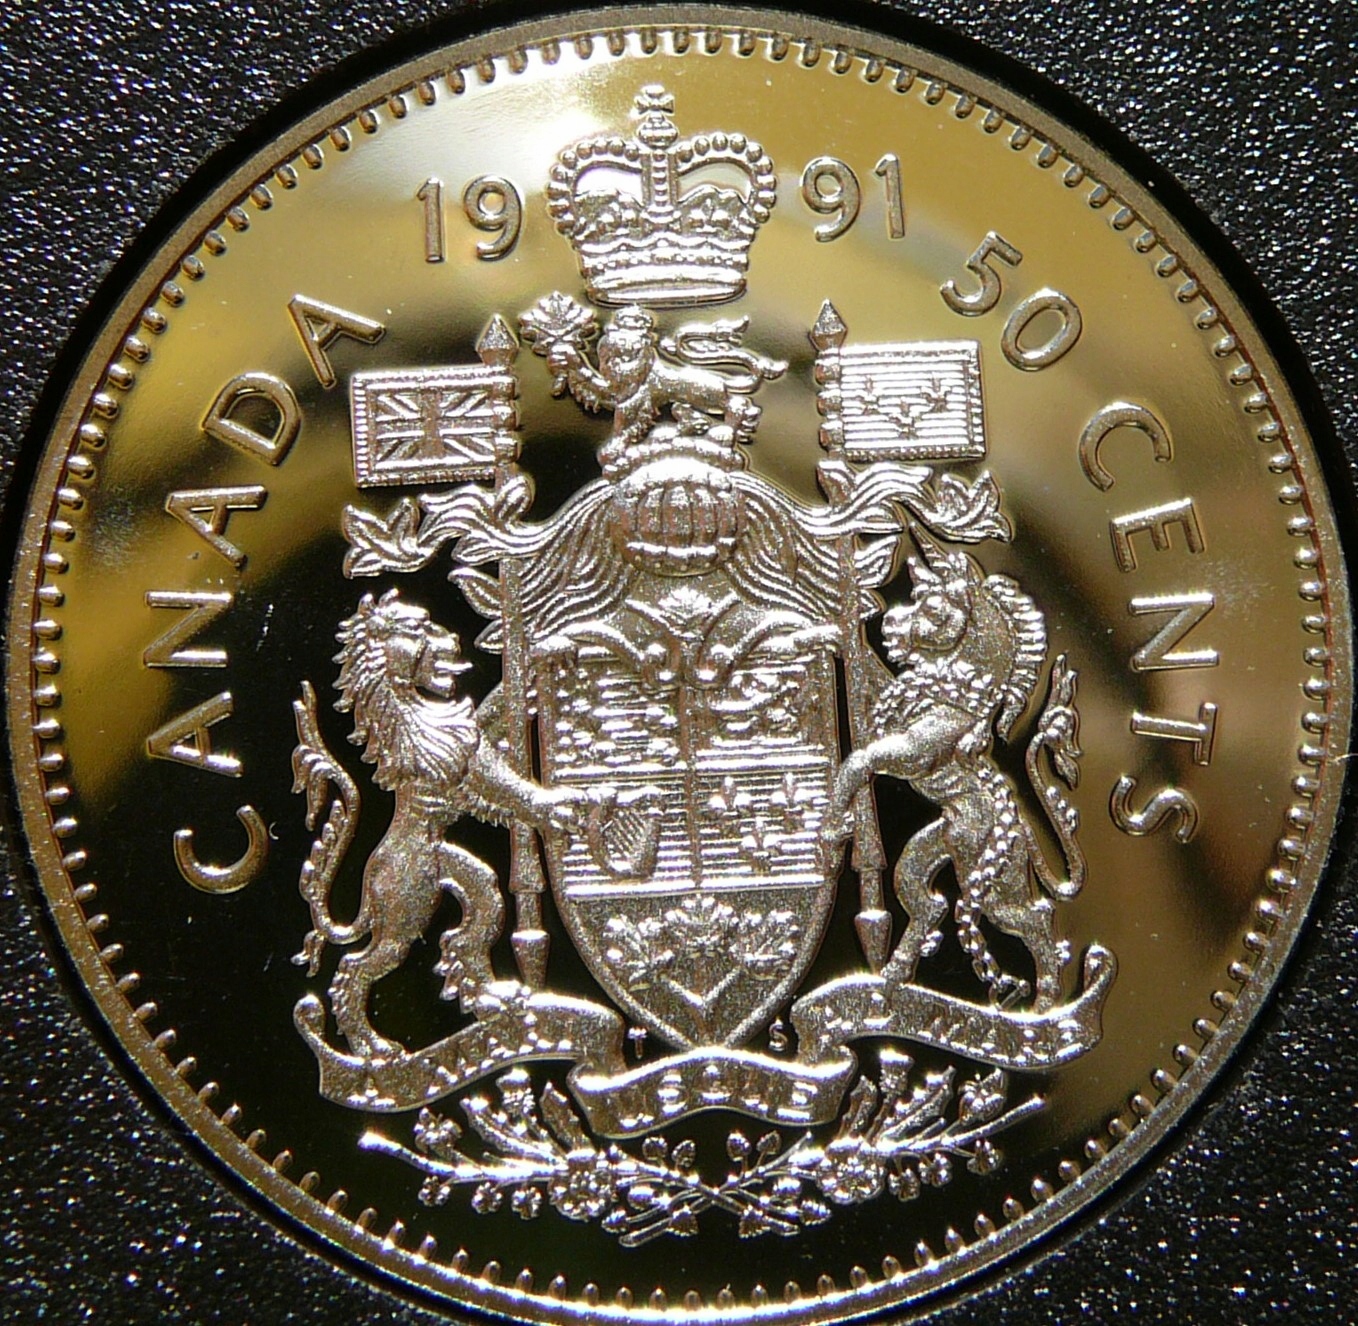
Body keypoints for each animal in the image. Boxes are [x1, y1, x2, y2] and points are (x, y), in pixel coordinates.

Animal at [291, 589, 592, 1060]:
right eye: (418, 628)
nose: (453, 639)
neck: (407, 704)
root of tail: (371, 878)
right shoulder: (460, 759)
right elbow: (508, 786)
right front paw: (557, 804)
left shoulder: (476, 736)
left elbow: (497, 707)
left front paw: (542, 653)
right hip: (404, 907)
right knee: (354, 969)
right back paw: (374, 1049)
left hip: (450, 875)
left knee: (466, 931)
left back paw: (494, 999)